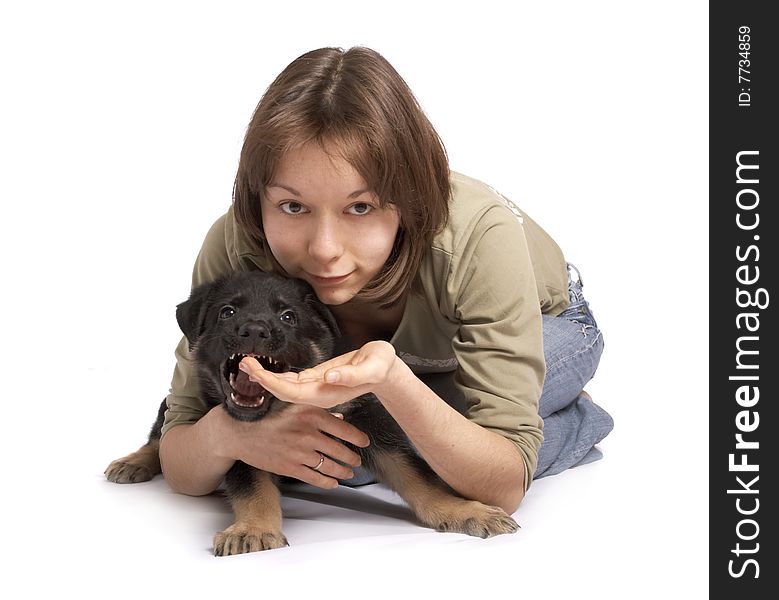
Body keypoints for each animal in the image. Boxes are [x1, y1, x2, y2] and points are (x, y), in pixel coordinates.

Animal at [103, 270, 516, 556]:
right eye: (227, 312)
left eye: (288, 317)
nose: (254, 330)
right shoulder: (233, 439)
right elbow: (252, 486)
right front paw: (254, 529)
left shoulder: (370, 427)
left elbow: (420, 478)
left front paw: (464, 511)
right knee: (160, 432)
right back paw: (134, 461)